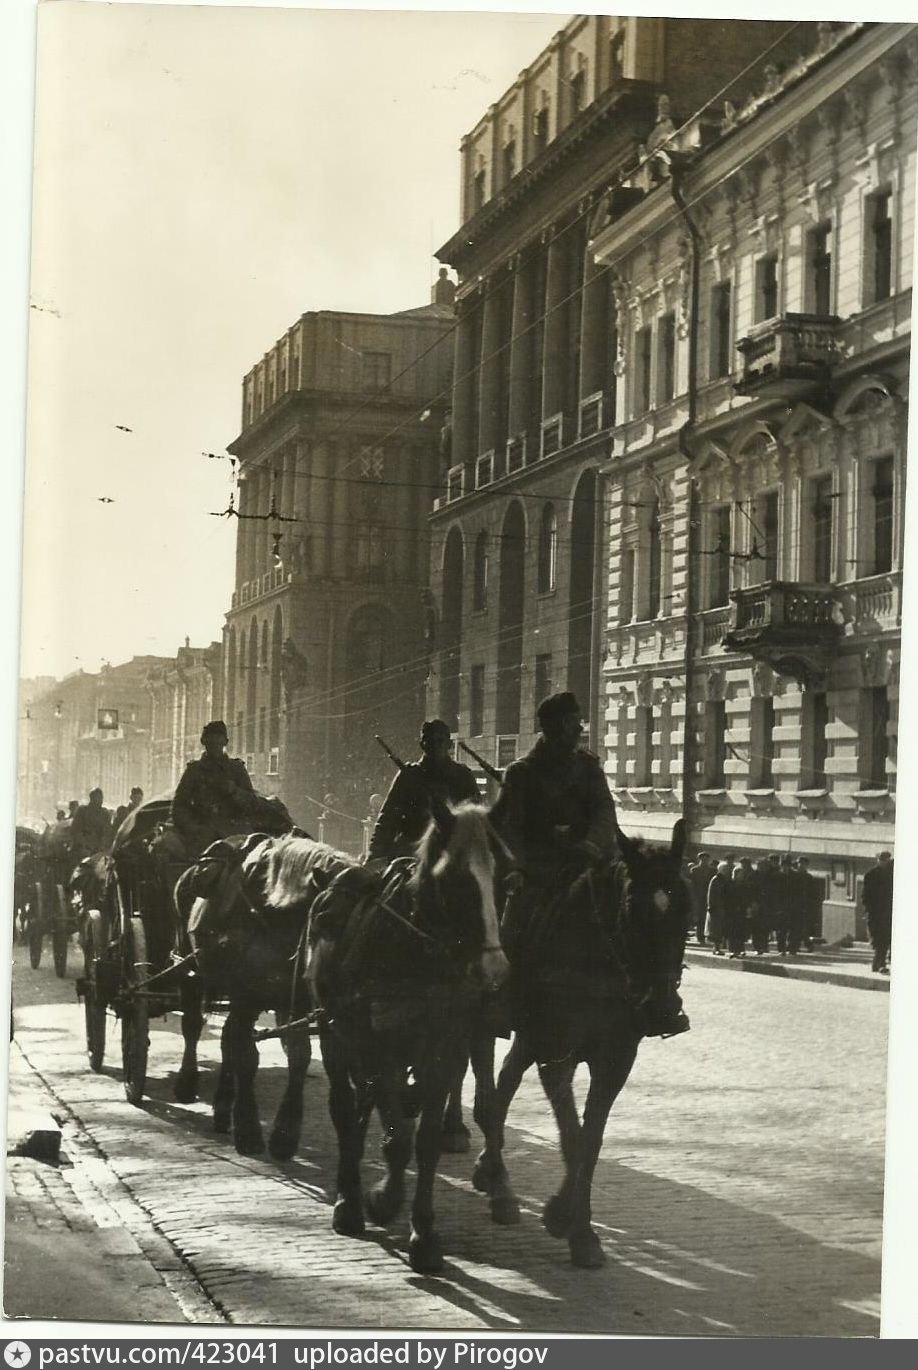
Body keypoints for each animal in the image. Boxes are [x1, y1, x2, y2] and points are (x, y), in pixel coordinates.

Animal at [174, 831, 361, 1159]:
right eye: (328, 917)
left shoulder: (296, 1001)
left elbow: (298, 1056)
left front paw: (285, 1134)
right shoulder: (246, 996)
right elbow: (247, 1057)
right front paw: (248, 1129)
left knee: (227, 1037)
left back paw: (223, 1105)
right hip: (189, 969)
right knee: (194, 1026)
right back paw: (187, 1082)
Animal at [308, 801, 509, 1274]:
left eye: (504, 875)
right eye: (456, 878)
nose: (494, 969)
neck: (419, 953)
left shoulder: (444, 1050)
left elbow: (425, 1140)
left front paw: (424, 1231)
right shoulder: (384, 1049)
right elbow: (399, 1137)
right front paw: (382, 1200)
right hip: (335, 1035)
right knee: (345, 1111)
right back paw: (347, 1202)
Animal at [471, 818, 691, 1269]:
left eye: (686, 909)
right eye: (633, 908)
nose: (663, 1006)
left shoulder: (615, 1061)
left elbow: (591, 1140)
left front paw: (578, 1226)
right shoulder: (557, 1053)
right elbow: (573, 1136)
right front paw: (566, 1218)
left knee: (504, 1082)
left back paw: (490, 1167)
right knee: (487, 1092)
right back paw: (500, 1186)